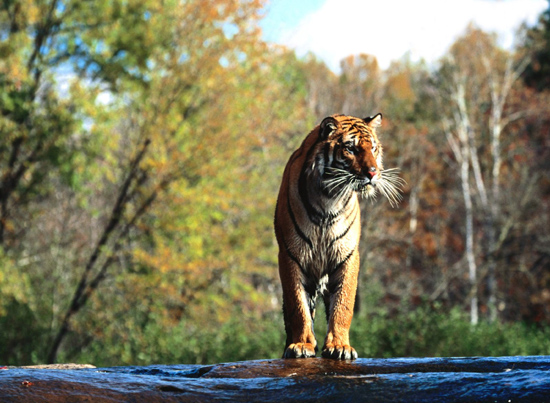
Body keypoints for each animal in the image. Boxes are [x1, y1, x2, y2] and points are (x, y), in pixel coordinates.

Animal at [276, 113, 406, 360]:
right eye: (350, 149)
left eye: (373, 148)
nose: (373, 173)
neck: (328, 198)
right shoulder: (291, 256)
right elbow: (299, 307)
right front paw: (302, 345)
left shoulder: (347, 256)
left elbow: (343, 305)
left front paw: (339, 346)